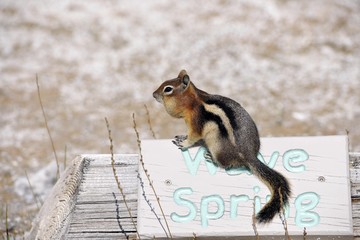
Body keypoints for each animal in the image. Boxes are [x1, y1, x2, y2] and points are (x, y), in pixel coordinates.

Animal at [152, 69, 290, 223]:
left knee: (227, 165)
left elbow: (193, 137)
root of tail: (250, 156)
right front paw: (182, 137)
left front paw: (184, 143)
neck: (193, 102)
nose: (153, 94)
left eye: (168, 89)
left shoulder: (196, 123)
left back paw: (212, 159)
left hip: (217, 146)